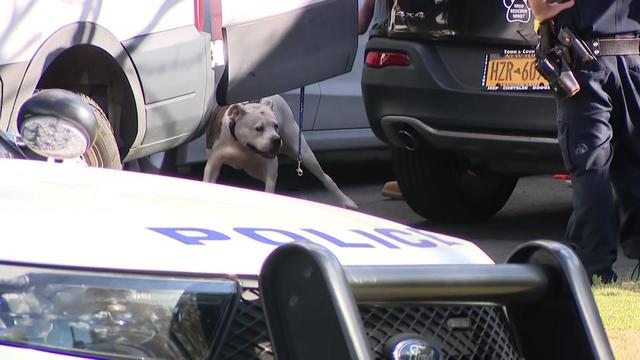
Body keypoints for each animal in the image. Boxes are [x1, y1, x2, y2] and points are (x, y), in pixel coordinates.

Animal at [202, 94, 358, 210]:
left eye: (275, 126)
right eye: (258, 128)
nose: (277, 140)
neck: (240, 144)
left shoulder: (271, 168)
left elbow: (270, 185)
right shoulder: (213, 163)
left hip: (303, 152)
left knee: (325, 177)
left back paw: (345, 200)